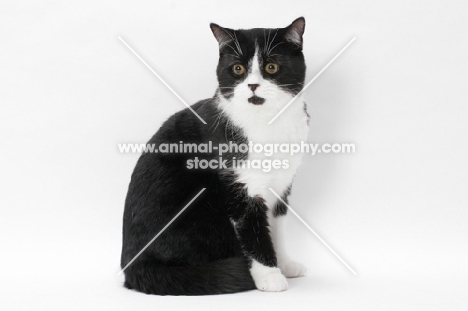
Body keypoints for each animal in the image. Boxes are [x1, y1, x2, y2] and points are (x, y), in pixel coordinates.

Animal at [121, 16, 308, 294]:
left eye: (272, 67)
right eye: (238, 69)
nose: (253, 85)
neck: (267, 123)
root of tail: (133, 266)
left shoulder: (282, 187)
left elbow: (278, 227)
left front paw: (285, 264)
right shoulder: (239, 185)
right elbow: (253, 231)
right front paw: (270, 276)